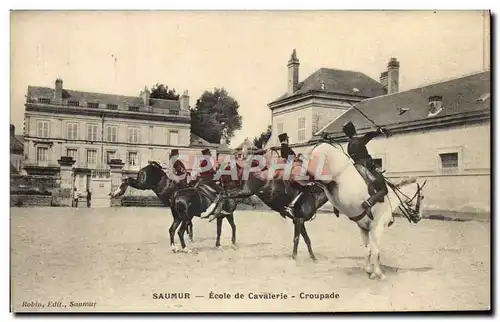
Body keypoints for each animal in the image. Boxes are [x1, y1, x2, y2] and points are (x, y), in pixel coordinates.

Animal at [110, 162, 239, 253]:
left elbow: (220, 230)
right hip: (144, 185)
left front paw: (219, 244)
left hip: (179, 217)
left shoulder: (221, 217)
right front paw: (232, 243)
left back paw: (175, 247)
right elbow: (231, 227)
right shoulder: (228, 215)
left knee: (172, 230)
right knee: (128, 180)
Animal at [304, 142, 426, 280]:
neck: (390, 197)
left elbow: (368, 250)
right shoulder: (377, 228)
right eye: (422, 197)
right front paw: (379, 274)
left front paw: (369, 270)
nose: (419, 217)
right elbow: (376, 251)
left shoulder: (364, 228)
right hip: (323, 176)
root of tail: (319, 146)